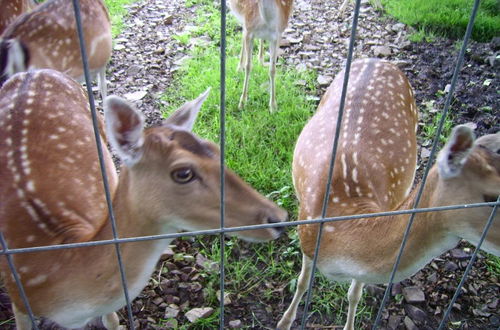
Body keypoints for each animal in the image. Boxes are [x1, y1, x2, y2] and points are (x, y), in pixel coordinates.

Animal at [0, 68, 288, 328]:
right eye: (183, 173)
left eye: (216, 148)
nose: (279, 219)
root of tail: (32, 71)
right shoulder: (19, 299)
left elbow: (113, 321)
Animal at [278, 57, 500, 330]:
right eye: (492, 197)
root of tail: (377, 60)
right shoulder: (307, 235)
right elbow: (302, 283)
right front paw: (284, 322)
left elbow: (354, 294)